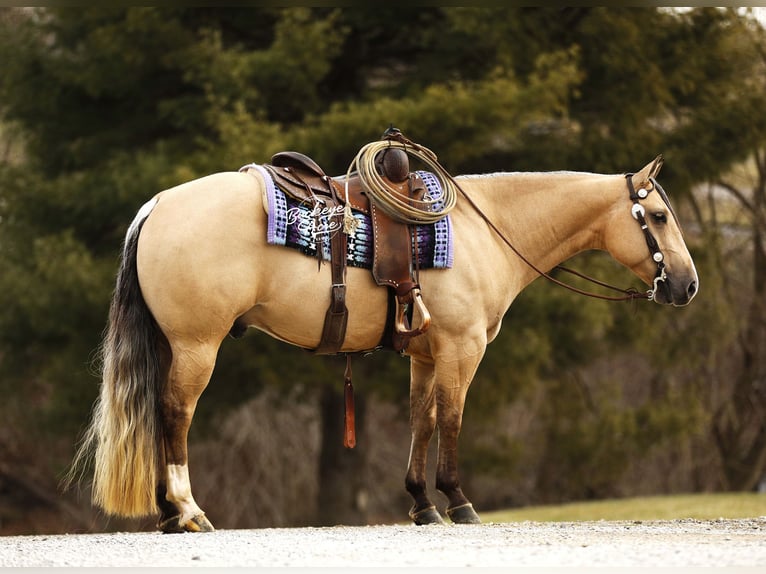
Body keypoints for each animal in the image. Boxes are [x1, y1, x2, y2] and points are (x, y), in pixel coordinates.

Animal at [67, 153, 698, 532]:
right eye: (658, 216)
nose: (687, 285)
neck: (485, 230)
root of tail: (158, 205)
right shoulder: (462, 350)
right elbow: (452, 419)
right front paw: (458, 501)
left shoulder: (426, 355)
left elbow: (422, 420)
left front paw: (422, 504)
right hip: (197, 345)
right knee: (176, 415)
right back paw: (188, 510)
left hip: (173, 346)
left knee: (158, 413)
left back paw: (167, 513)